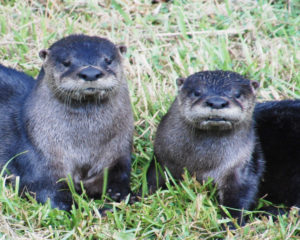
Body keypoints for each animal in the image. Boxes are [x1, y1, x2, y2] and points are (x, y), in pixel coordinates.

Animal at [0, 34, 134, 211]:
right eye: (66, 62)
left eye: (108, 60)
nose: (90, 72)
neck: (85, 147)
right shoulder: (41, 160)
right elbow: (49, 194)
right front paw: (88, 210)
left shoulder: (118, 155)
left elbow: (118, 180)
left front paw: (121, 197)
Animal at [148, 70, 264, 222]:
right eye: (197, 92)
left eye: (237, 94)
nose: (217, 102)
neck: (201, 163)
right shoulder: (163, 159)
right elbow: (152, 178)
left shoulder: (240, 167)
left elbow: (240, 197)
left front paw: (231, 222)